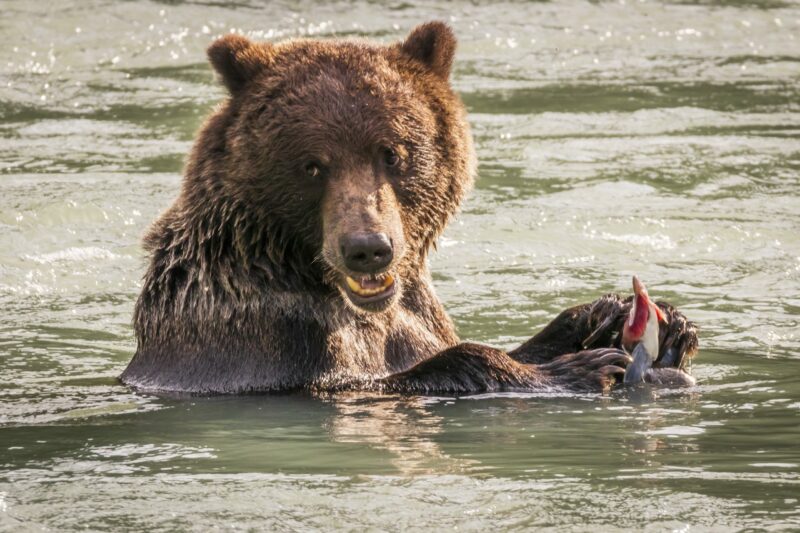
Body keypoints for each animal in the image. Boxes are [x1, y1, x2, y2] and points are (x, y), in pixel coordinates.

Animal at [119, 22, 692, 392]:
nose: (367, 248)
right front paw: (583, 367)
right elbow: (396, 375)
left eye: (392, 152)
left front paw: (617, 316)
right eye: (311, 165)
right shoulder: (259, 340)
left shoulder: (416, 315)